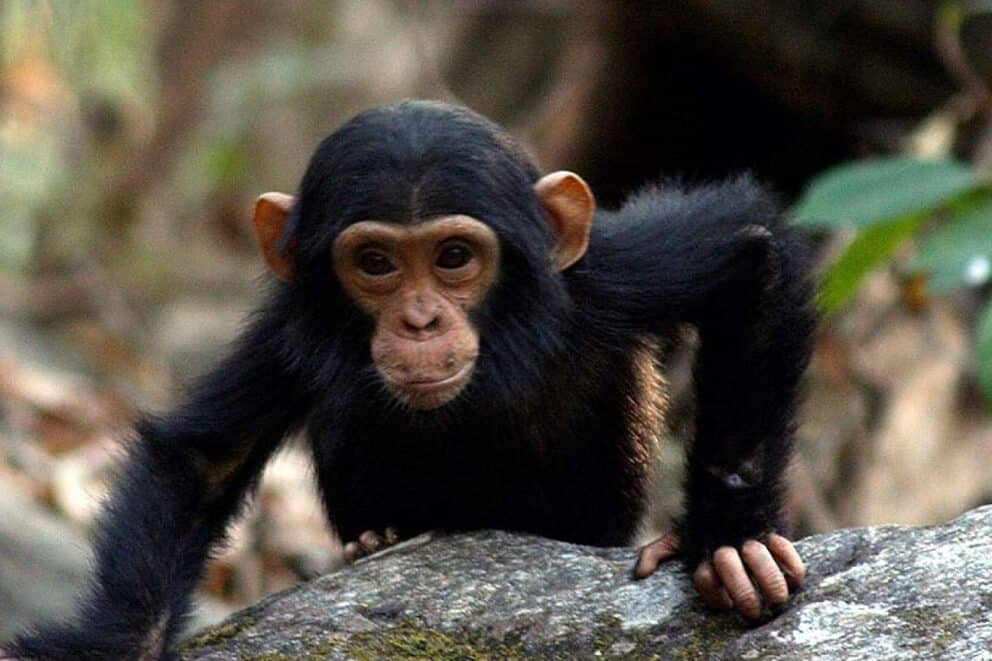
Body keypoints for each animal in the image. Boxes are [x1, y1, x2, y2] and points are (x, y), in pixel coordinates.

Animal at [8, 100, 813, 660]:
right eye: (375, 263)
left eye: (454, 256)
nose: (420, 320)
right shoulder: (288, 336)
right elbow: (204, 459)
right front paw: (115, 645)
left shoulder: (611, 276)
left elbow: (750, 258)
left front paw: (730, 540)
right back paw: (378, 539)